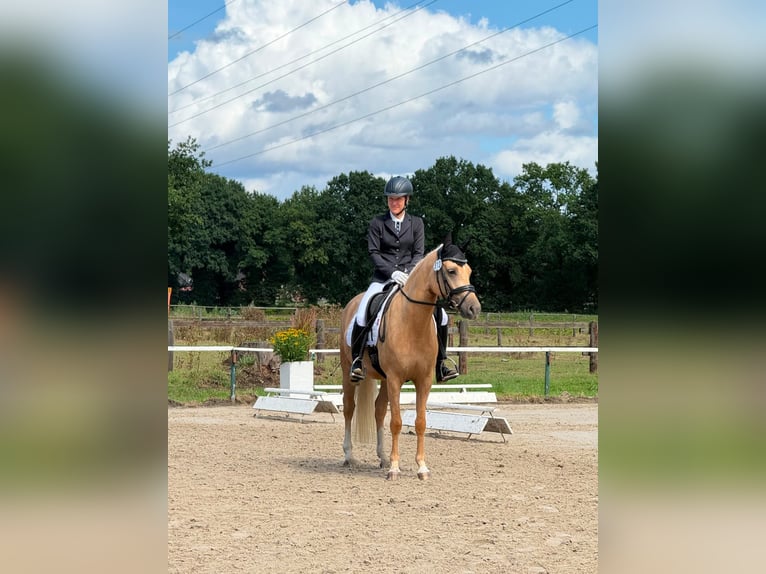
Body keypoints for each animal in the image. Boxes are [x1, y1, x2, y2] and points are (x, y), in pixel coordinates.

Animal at [339, 237, 481, 480]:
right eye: (451, 271)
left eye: (470, 271)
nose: (474, 308)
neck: (413, 322)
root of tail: (353, 302)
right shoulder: (396, 379)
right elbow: (396, 422)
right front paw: (395, 468)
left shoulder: (423, 380)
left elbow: (421, 422)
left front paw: (421, 467)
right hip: (350, 371)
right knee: (349, 408)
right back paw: (349, 456)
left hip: (384, 379)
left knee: (378, 410)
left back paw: (383, 457)